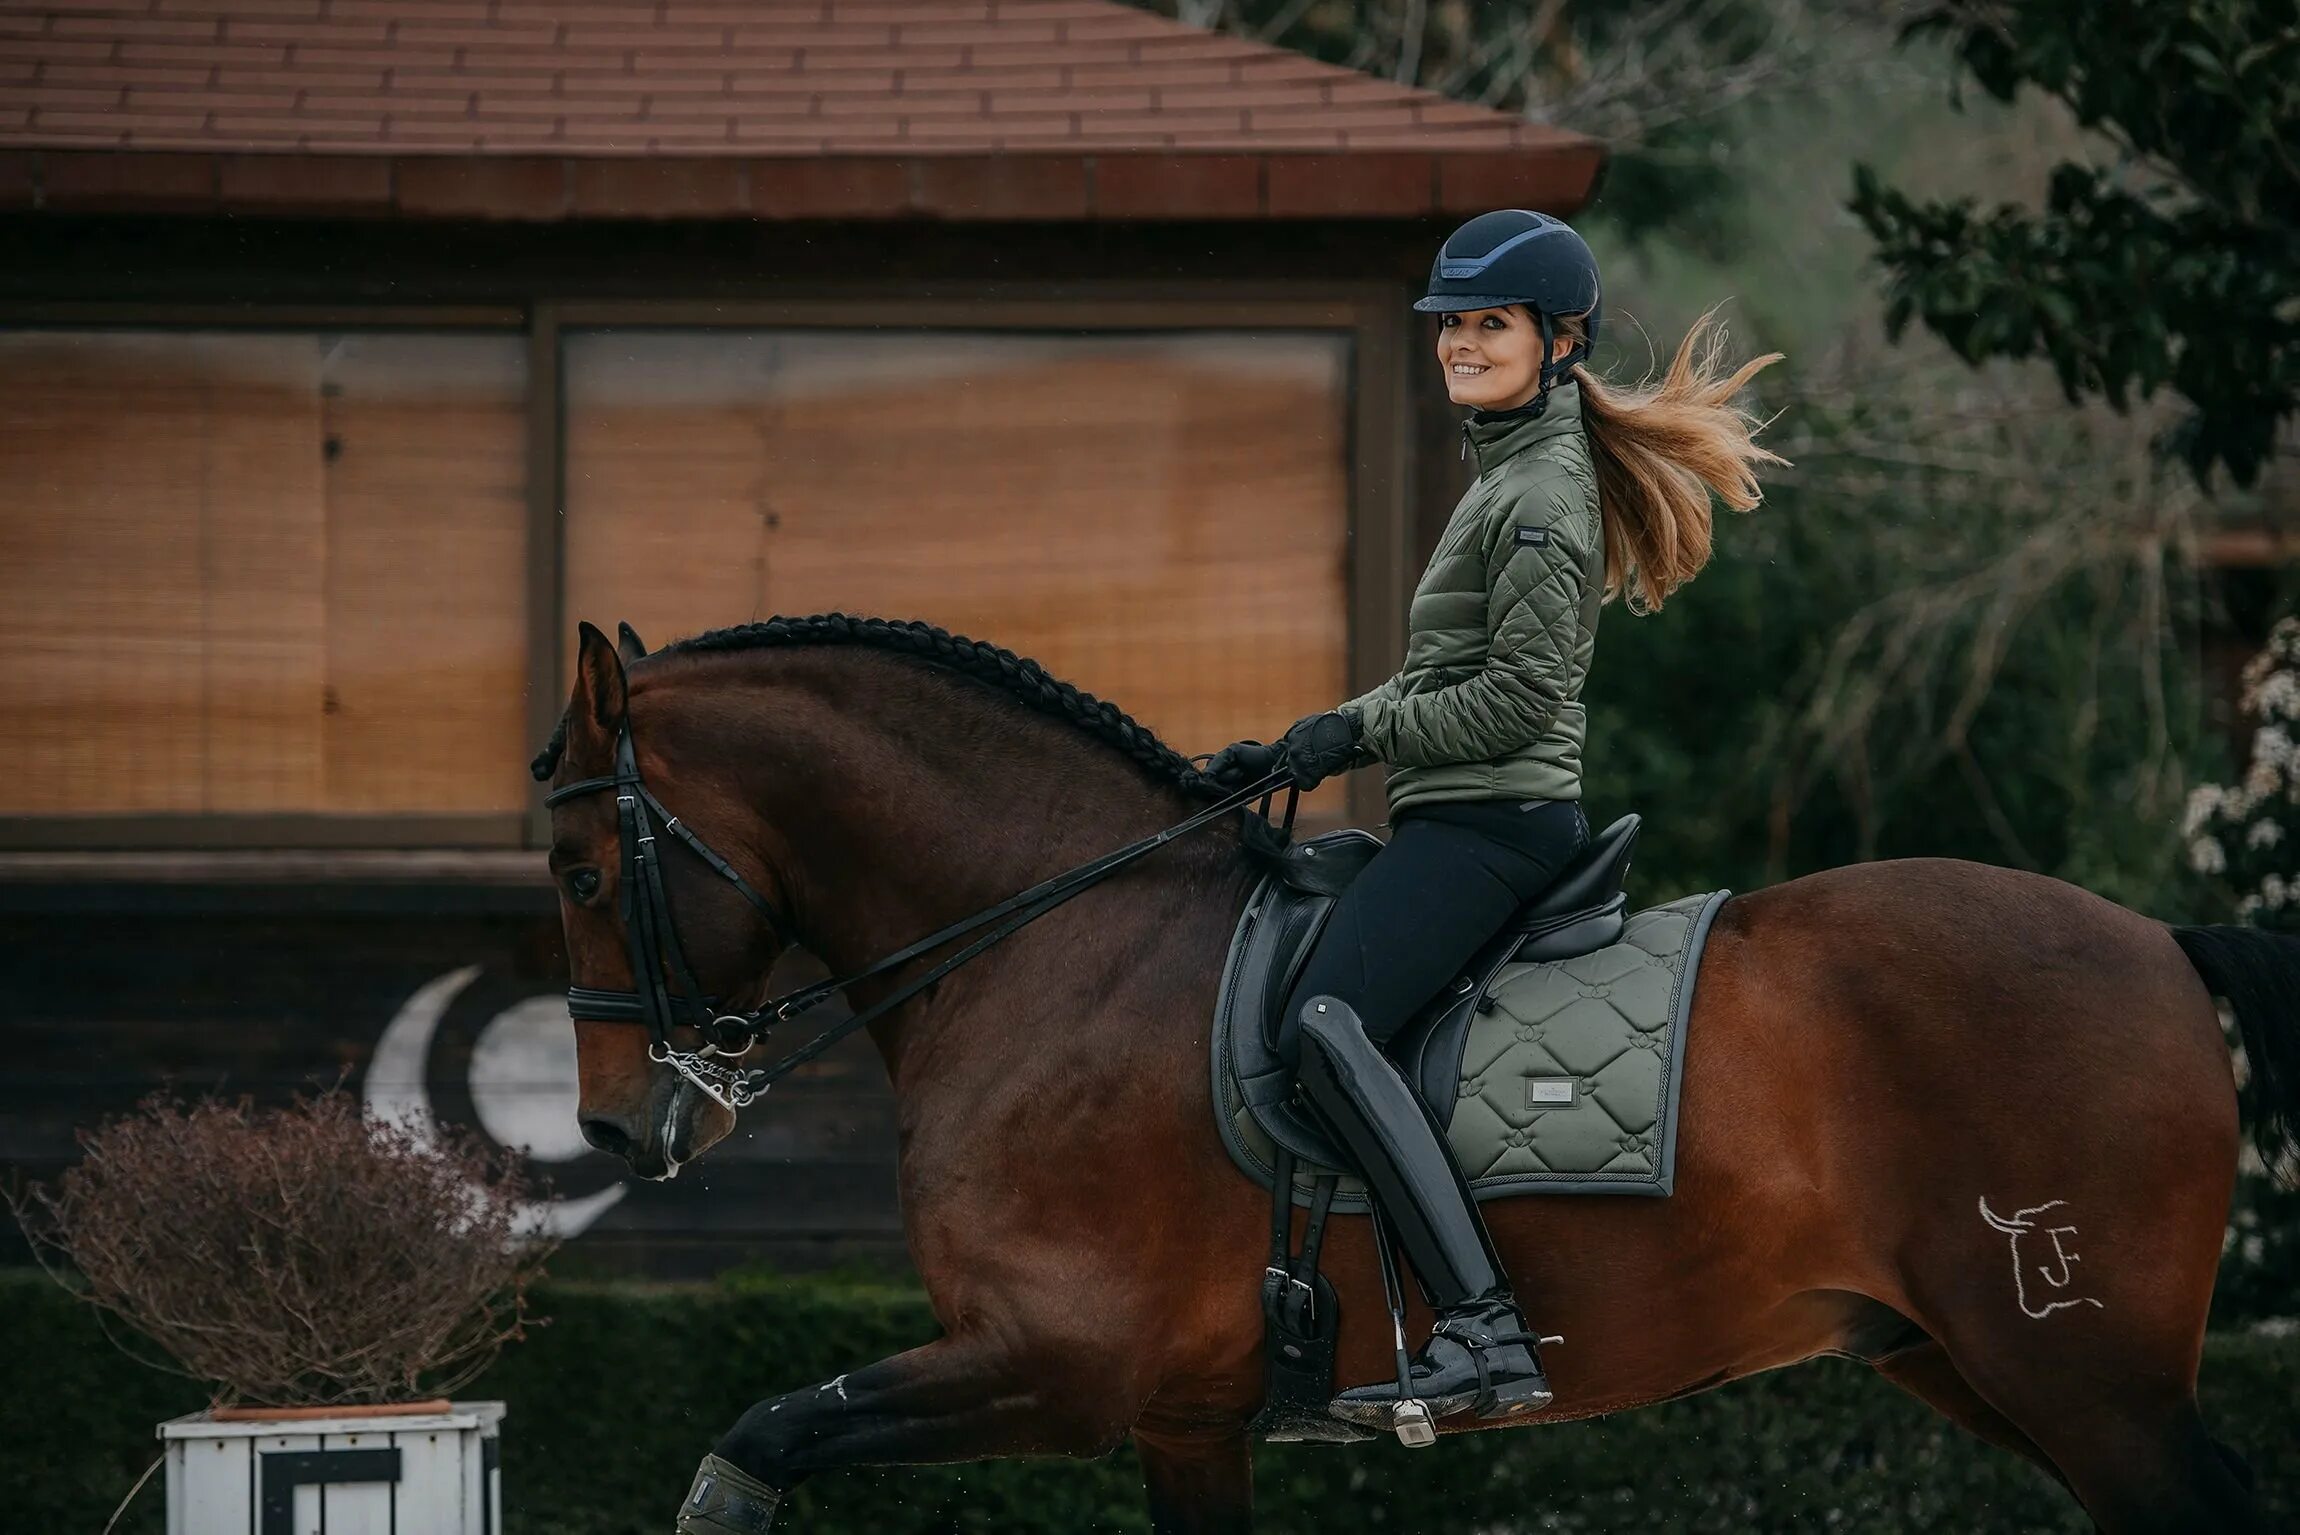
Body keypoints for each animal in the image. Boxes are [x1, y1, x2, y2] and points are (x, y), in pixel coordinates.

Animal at [542, 616, 2300, 1528]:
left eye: (573, 864)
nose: (619, 1122)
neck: (1053, 939)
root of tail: (2157, 936)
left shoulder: (1053, 1361)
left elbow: (761, 1430)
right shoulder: (1183, 1421)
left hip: (2084, 1376)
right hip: (1975, 1359)